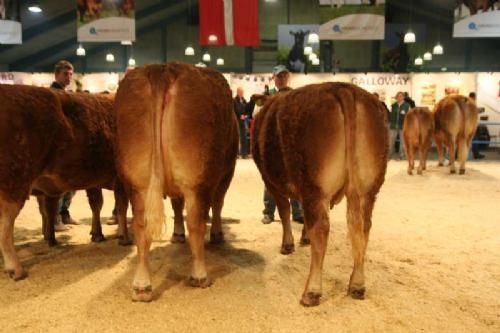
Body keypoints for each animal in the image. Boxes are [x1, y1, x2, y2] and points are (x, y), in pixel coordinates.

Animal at [0, 83, 131, 280]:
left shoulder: (94, 180)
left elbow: (97, 204)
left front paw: (97, 233)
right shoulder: (122, 178)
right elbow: (122, 207)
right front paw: (125, 237)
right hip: (14, 182)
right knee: (5, 225)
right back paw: (16, 268)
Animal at [114, 62, 238, 300]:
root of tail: (163, 68)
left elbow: (176, 205)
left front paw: (177, 234)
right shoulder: (226, 173)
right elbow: (217, 204)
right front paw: (217, 233)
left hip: (138, 184)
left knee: (141, 227)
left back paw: (142, 286)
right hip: (195, 182)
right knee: (196, 224)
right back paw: (200, 275)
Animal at [252, 81, 388, 304]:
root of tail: (343, 88)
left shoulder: (271, 182)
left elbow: (285, 211)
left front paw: (288, 244)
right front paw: (304, 238)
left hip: (315, 187)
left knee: (322, 228)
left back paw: (312, 291)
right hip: (369, 189)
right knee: (363, 227)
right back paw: (357, 285)